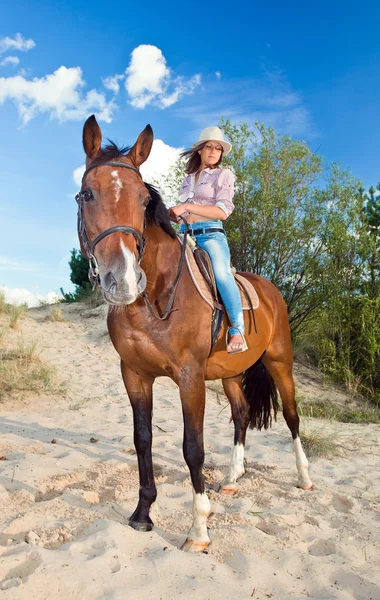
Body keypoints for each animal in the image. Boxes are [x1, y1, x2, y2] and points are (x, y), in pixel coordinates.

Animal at [76, 115, 312, 552]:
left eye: (143, 199)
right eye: (87, 194)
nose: (123, 280)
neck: (155, 296)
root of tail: (271, 289)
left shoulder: (189, 378)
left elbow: (193, 448)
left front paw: (199, 528)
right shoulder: (135, 374)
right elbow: (143, 439)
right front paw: (142, 513)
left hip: (280, 363)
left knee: (292, 417)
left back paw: (304, 477)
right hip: (232, 374)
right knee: (242, 414)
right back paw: (233, 479)